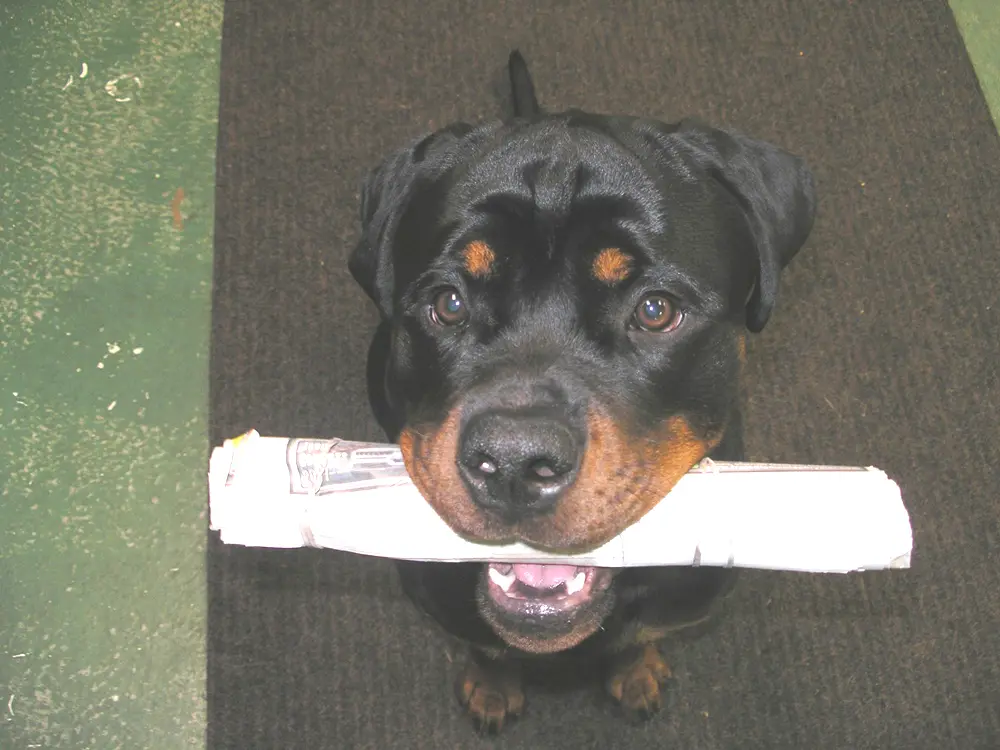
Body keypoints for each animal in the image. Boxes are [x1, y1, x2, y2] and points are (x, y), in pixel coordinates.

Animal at [348, 54, 816, 736]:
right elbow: (485, 645)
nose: (514, 462)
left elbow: (641, 637)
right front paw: (492, 686)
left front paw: (635, 672)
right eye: (448, 303)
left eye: (655, 310)